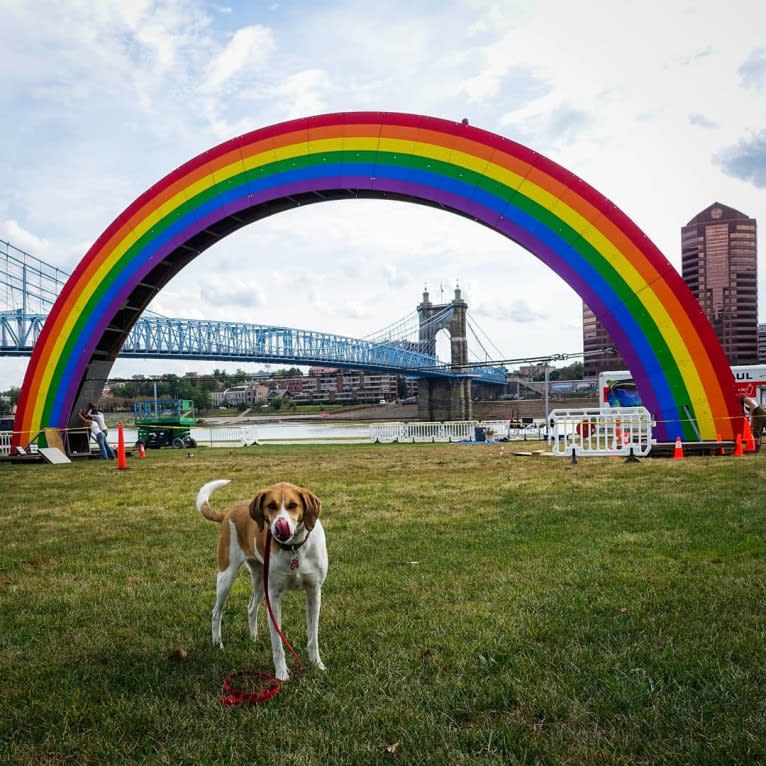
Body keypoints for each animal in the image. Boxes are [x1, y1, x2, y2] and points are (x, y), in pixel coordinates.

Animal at [194, 484, 328, 680]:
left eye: (293, 505)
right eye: (271, 506)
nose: (280, 526)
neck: (294, 549)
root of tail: (229, 512)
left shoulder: (314, 592)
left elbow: (313, 636)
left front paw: (317, 664)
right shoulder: (273, 597)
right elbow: (277, 643)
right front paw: (281, 674)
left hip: (259, 578)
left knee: (251, 607)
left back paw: (253, 638)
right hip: (226, 576)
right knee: (216, 612)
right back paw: (218, 643)